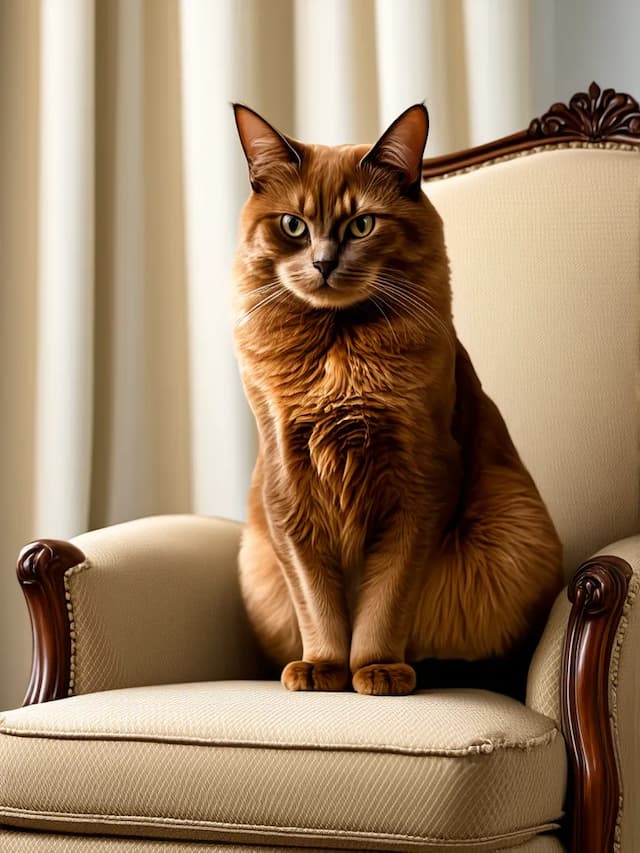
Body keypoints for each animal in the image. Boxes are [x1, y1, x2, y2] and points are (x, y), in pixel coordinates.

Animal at [230, 103, 560, 696]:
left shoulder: (420, 483)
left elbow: (386, 598)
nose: (323, 263)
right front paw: (323, 667)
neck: (337, 353)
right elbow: (317, 599)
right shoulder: (287, 488)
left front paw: (376, 668)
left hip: (512, 528)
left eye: (362, 224)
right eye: (293, 225)